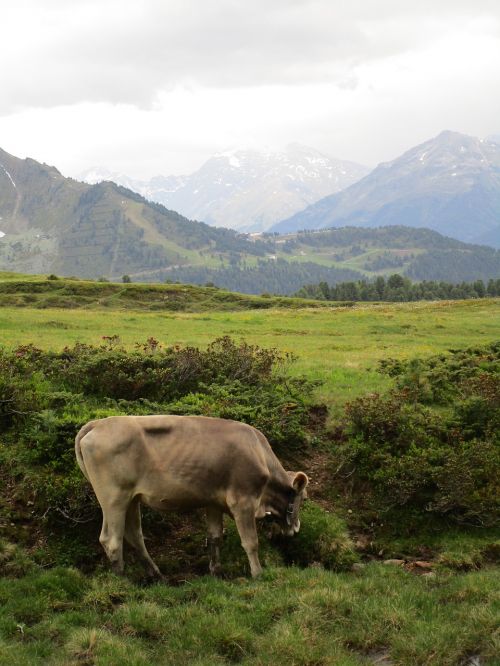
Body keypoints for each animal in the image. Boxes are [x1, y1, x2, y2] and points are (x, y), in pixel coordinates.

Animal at [74, 416, 308, 576]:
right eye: (303, 498)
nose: (296, 527)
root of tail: (98, 423)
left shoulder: (214, 501)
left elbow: (215, 536)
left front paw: (216, 570)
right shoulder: (243, 501)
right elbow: (251, 541)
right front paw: (258, 574)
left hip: (131, 498)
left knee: (134, 535)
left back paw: (156, 575)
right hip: (114, 498)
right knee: (111, 539)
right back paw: (122, 580)